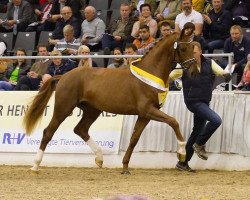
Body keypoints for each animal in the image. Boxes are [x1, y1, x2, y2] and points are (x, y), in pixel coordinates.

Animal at [23, 30, 195, 173]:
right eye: (183, 48)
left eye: (193, 46)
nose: (193, 70)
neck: (150, 73)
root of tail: (64, 76)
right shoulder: (148, 110)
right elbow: (173, 122)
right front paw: (181, 153)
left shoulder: (145, 115)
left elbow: (134, 139)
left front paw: (125, 167)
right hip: (63, 108)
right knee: (49, 132)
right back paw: (35, 165)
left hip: (92, 110)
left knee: (80, 129)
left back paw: (99, 159)